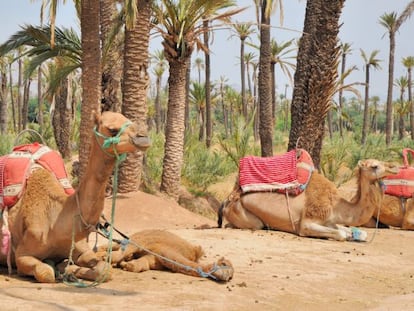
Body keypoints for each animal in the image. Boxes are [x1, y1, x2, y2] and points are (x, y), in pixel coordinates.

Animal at [0, 111, 150, 284]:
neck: (56, 222)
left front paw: (67, 269)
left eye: (128, 120)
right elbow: (46, 272)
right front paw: (62, 269)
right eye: (112, 129)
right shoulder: (22, 254)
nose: (143, 137)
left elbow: (105, 270)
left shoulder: (81, 248)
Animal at [95, 229, 234, 282]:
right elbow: (122, 252)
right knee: (116, 245)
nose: (227, 276)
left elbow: (141, 265)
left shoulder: (155, 258)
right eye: (223, 263)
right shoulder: (149, 245)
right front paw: (106, 258)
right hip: (138, 236)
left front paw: (126, 264)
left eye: (231, 276)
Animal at [218, 158, 400, 241]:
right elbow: (341, 234)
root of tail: (228, 200)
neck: (336, 206)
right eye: (375, 166)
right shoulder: (307, 223)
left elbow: (357, 232)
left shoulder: (330, 221)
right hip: (246, 215)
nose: (395, 167)